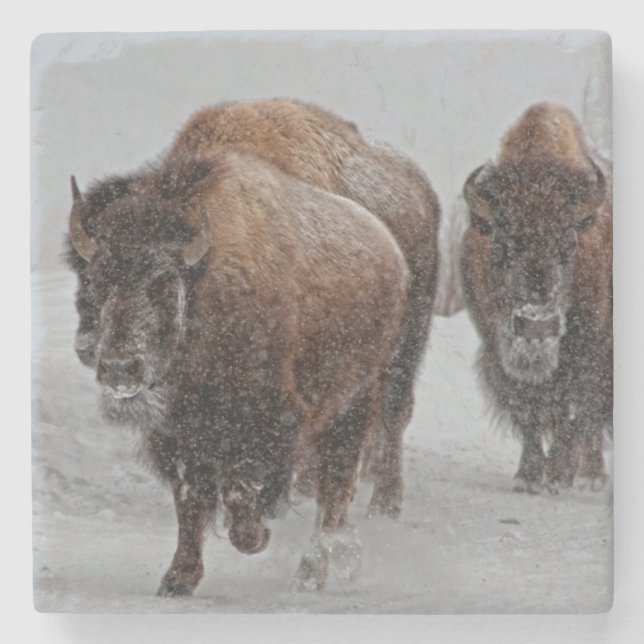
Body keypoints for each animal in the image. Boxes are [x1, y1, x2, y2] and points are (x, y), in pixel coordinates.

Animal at [460, 102, 612, 493]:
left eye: (569, 244)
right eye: (500, 245)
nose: (536, 326)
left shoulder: (588, 349)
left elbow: (572, 409)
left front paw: (557, 476)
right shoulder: (497, 349)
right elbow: (526, 408)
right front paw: (528, 477)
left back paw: (591, 474)